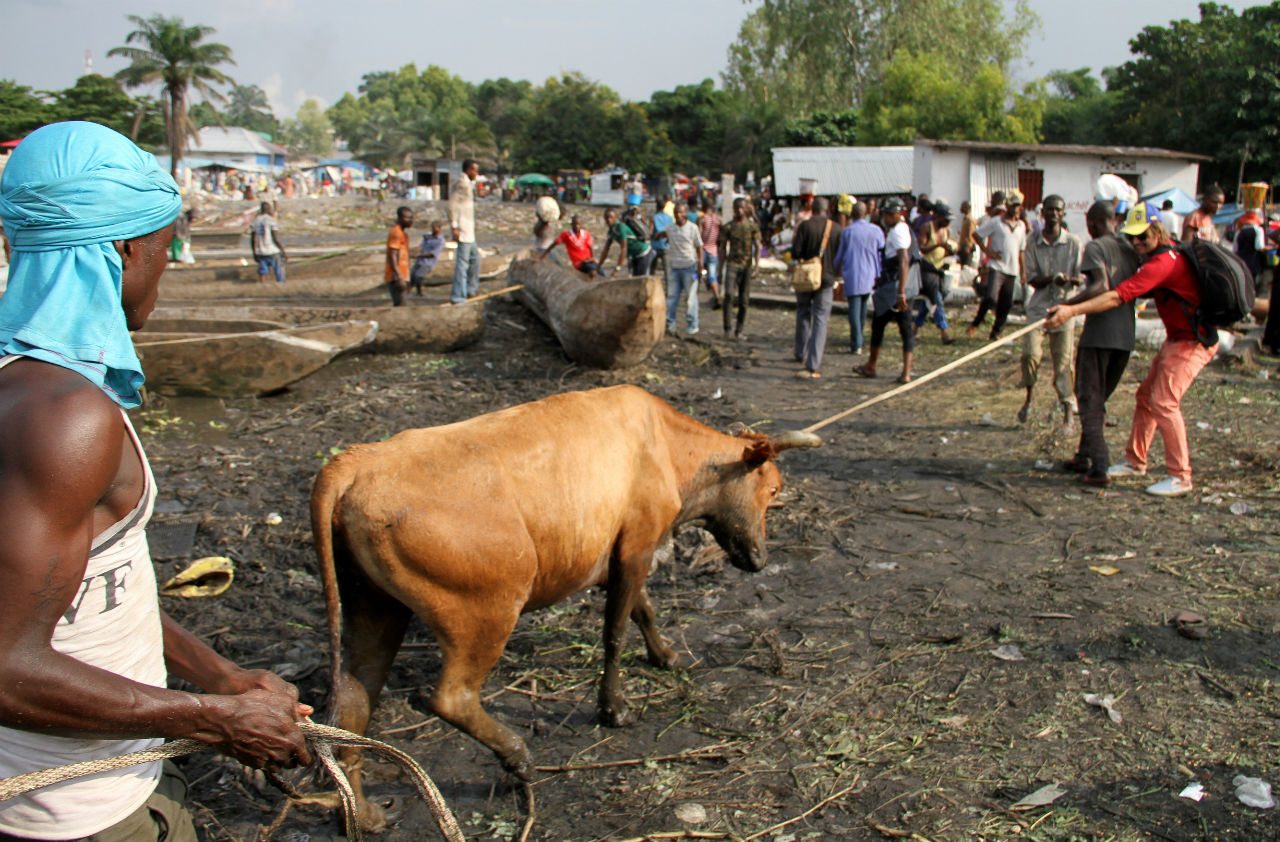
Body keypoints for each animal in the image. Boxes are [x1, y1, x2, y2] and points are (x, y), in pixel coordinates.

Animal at [312, 386, 819, 824]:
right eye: (773, 490)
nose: (760, 559)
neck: (670, 449)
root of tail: (356, 461)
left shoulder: (617, 555)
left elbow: (644, 610)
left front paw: (666, 655)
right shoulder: (637, 544)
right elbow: (615, 632)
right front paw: (613, 709)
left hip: (373, 607)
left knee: (354, 703)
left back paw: (365, 813)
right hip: (486, 609)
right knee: (449, 697)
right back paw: (518, 757)